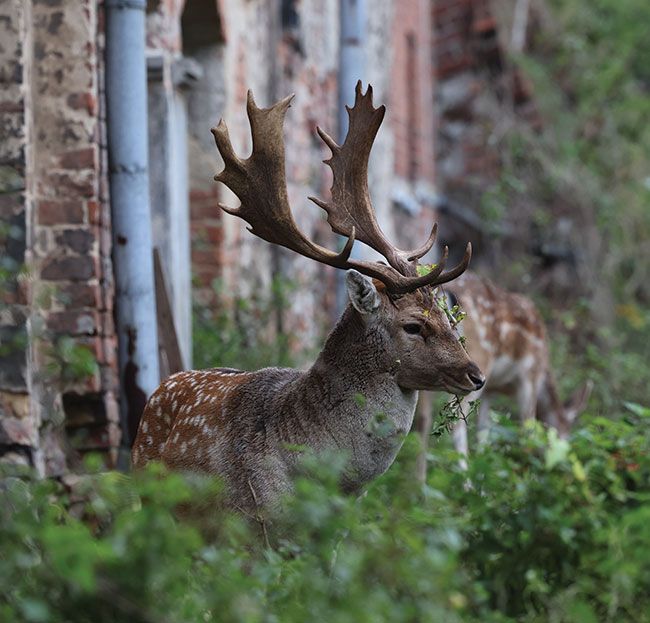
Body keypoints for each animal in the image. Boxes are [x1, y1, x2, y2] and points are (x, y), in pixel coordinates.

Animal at [438, 274, 588, 464]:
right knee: (454, 418)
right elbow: (528, 429)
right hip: (479, 354)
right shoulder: (530, 376)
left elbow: (484, 432)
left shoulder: (490, 389)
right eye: (563, 441)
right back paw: (463, 470)